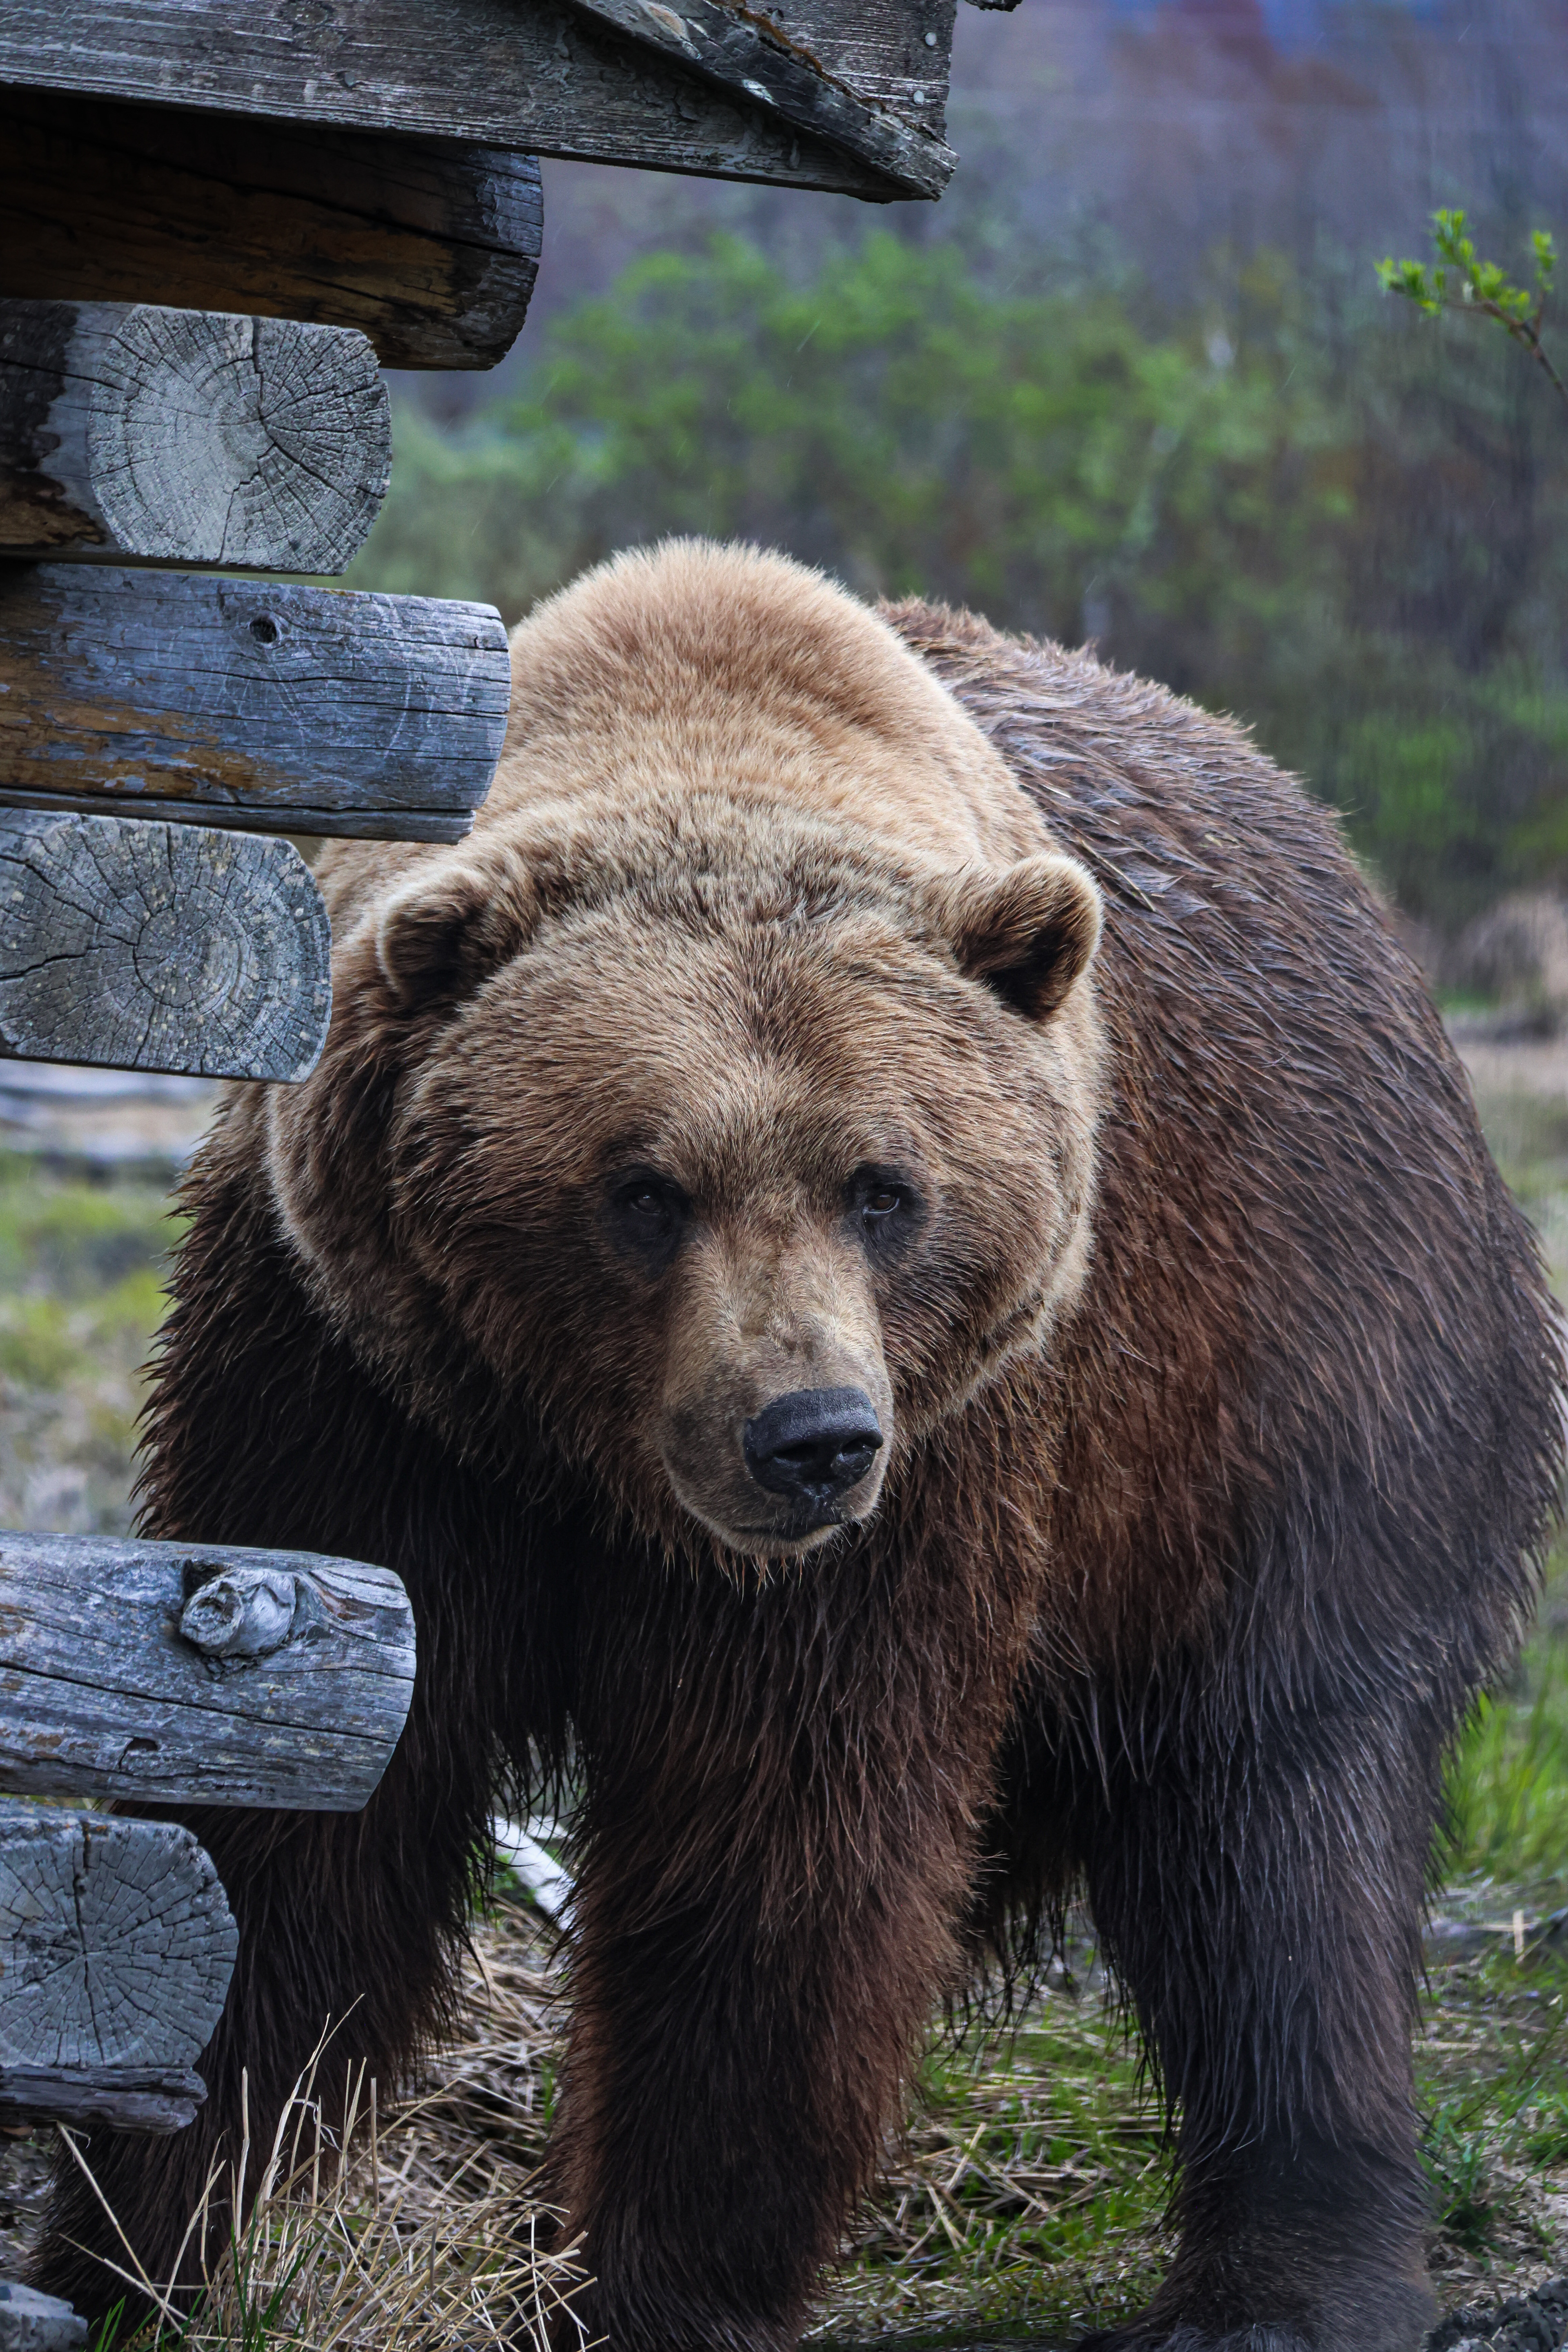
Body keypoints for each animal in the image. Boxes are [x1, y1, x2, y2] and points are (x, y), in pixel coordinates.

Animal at [35, 540, 1564, 2352]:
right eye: (640, 1189)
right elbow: (300, 1832)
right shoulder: (358, 1390)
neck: (589, 1465)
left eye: (885, 1187)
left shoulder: (939, 1474)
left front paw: (655, 2286)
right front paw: (134, 2245)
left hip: (1296, 1395)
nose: (809, 1438)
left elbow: (777, 1860)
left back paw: (1289, 2279)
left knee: (1277, 1835)